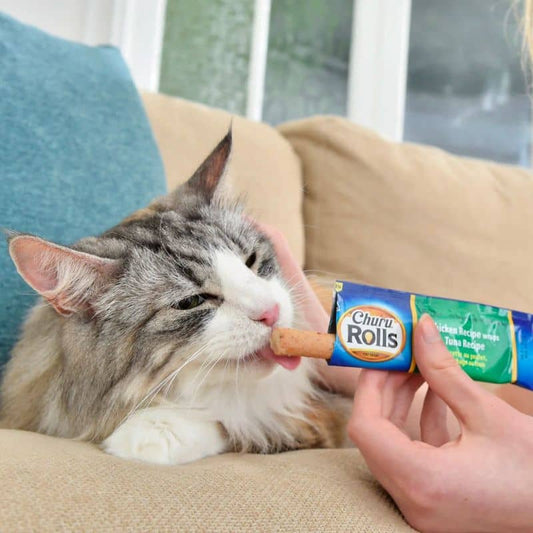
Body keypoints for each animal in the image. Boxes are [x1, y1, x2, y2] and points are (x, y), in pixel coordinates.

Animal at [0, 131, 348, 464]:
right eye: (190, 303)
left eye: (251, 261)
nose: (271, 311)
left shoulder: (319, 414)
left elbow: (238, 421)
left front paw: (155, 431)